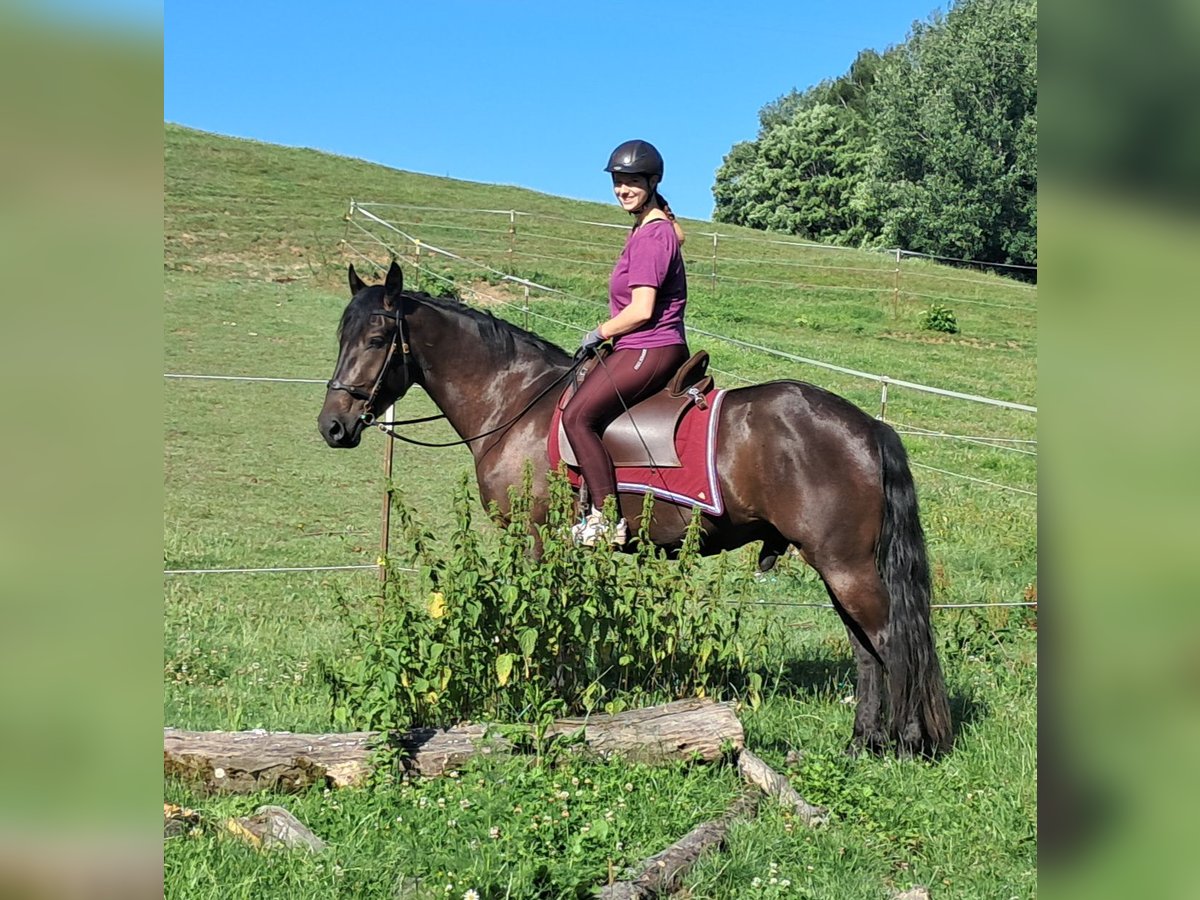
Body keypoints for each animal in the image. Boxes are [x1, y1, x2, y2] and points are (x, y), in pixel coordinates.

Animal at [318, 261, 953, 757]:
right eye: (341, 336)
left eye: (375, 340)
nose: (332, 427)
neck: (517, 403)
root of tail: (867, 425)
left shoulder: (535, 541)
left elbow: (537, 624)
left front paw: (536, 702)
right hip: (838, 563)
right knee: (865, 650)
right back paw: (862, 741)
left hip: (846, 564)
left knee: (892, 641)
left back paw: (906, 743)